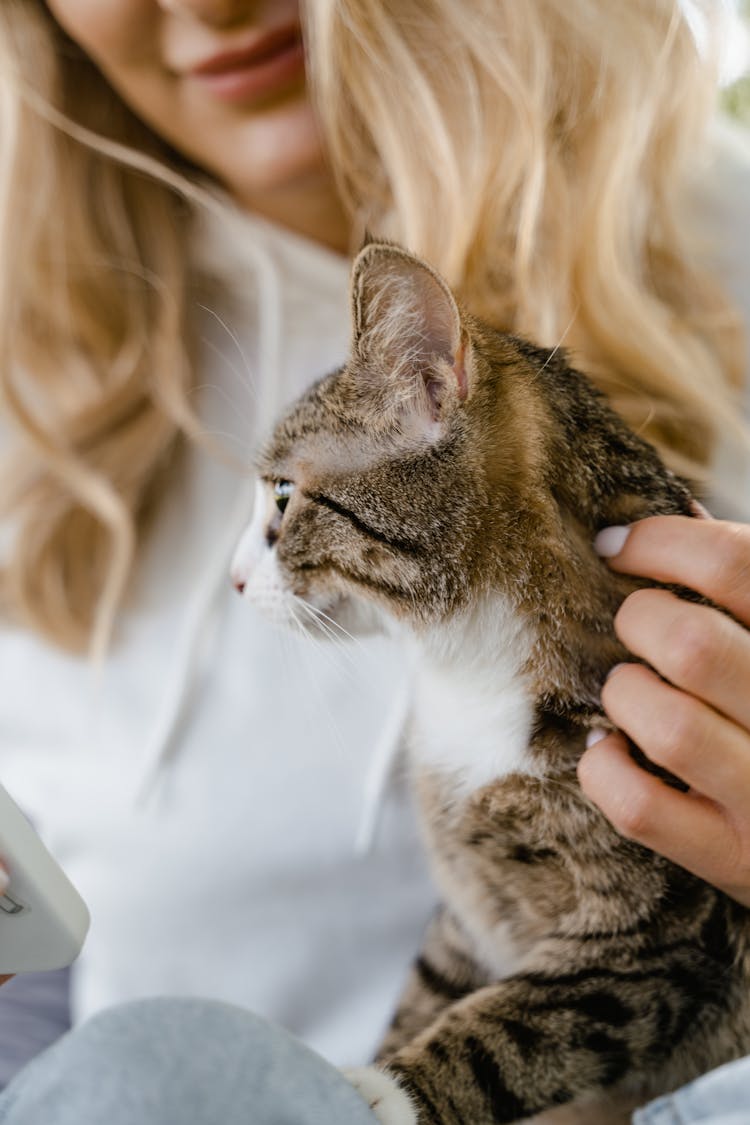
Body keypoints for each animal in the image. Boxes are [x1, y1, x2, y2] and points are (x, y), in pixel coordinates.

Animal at [230, 241, 750, 1120]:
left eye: (284, 495)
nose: (232, 579)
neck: (468, 667)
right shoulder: (466, 904)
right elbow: (433, 988)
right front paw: (380, 1059)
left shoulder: (661, 937)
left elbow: (512, 1028)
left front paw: (384, 1089)